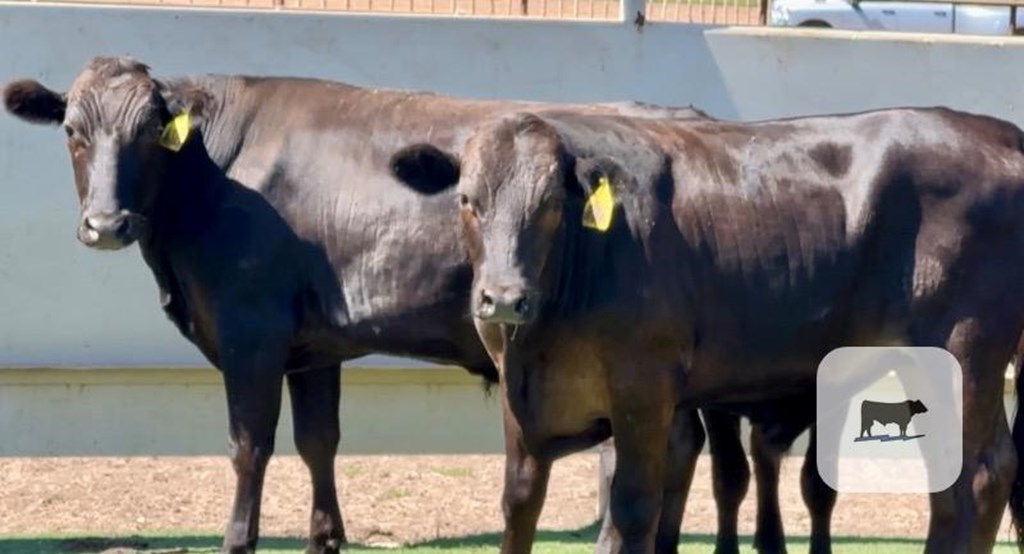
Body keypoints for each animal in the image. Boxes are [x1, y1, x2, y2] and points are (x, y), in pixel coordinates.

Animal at [387, 109, 1024, 552]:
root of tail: (994, 133)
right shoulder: (521, 398)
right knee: (967, 479)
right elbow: (520, 503)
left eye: (550, 205)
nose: (503, 297)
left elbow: (634, 507)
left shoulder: (644, 390)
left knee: (978, 476)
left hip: (964, 352)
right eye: (467, 200)